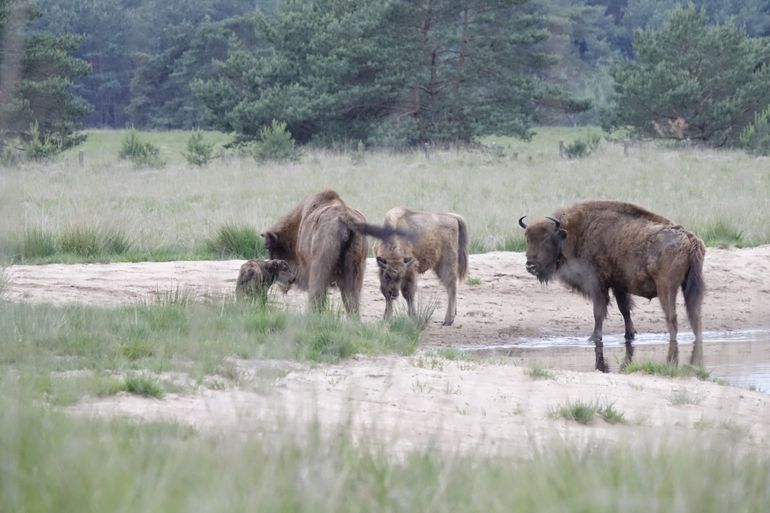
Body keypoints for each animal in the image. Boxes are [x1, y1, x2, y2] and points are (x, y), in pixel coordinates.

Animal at [260, 190, 408, 314]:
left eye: (268, 246)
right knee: (351, 302)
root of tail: (346, 220)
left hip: (320, 269)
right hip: (356, 271)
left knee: (317, 297)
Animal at [516, 200, 704, 372]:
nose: (530, 266)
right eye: (527, 238)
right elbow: (625, 310)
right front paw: (630, 334)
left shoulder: (598, 284)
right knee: (694, 316)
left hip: (666, 287)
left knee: (671, 316)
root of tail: (690, 239)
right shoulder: (618, 286)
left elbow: (598, 312)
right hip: (689, 288)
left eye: (546, 239)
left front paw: (594, 337)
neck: (575, 232)